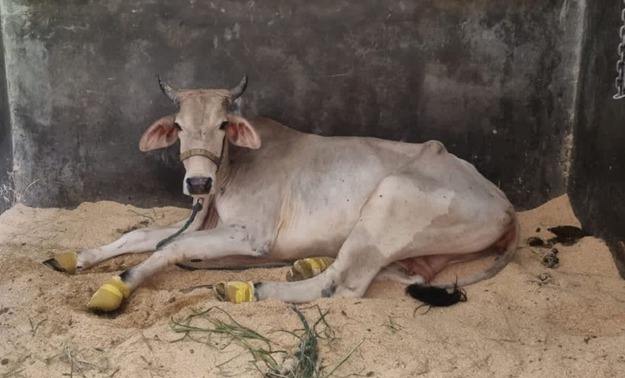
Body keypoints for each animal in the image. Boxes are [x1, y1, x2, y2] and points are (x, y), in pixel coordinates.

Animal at [41, 75, 516, 312]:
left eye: (222, 125)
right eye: (177, 125)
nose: (197, 184)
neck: (227, 176)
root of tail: (505, 203)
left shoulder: (251, 234)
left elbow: (170, 249)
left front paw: (119, 286)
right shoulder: (198, 220)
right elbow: (138, 235)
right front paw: (76, 257)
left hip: (392, 200)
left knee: (341, 285)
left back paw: (249, 289)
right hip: (415, 250)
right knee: (388, 274)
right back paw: (303, 265)